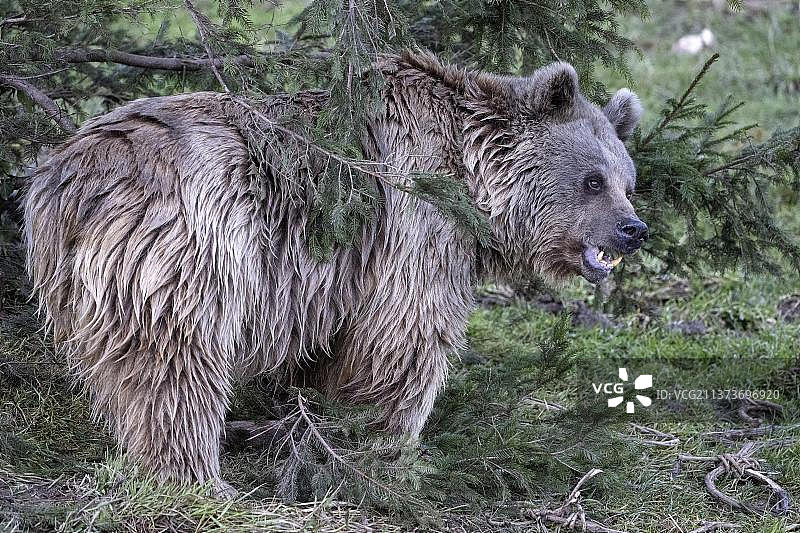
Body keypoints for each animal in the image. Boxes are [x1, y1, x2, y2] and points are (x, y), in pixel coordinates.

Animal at [24, 50, 647, 493]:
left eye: (628, 181)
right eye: (592, 179)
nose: (633, 229)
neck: (473, 184)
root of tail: (76, 175)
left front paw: (313, 421)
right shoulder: (414, 223)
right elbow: (406, 335)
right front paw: (391, 443)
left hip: (79, 278)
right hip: (191, 245)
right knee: (177, 360)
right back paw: (196, 475)